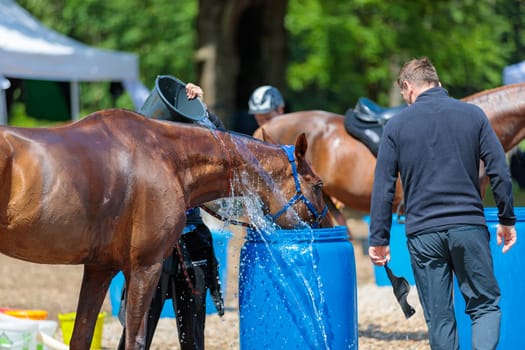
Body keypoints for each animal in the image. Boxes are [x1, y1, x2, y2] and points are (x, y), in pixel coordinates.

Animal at [0, 108, 328, 348]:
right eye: (318, 185)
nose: (326, 224)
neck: (166, 158)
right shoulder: (145, 267)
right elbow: (135, 339)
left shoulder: (99, 269)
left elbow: (82, 336)